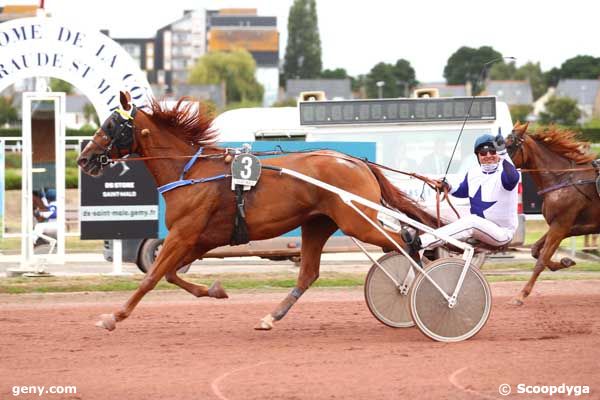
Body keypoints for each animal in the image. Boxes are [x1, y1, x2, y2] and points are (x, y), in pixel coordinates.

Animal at [79, 93, 436, 332]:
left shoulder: (183, 235)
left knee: (408, 241)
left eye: (111, 124)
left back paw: (417, 289)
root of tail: (356, 161)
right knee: (309, 273)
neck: (189, 172)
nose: (84, 159)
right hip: (318, 224)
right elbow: (169, 275)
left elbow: (151, 277)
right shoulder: (198, 240)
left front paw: (113, 317)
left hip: (356, 222)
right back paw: (270, 317)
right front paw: (215, 290)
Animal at [508, 121, 596, 304]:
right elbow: (536, 250)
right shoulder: (564, 227)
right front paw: (565, 262)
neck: (561, 180)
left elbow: (541, 259)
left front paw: (521, 295)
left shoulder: (561, 225)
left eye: (509, 145)